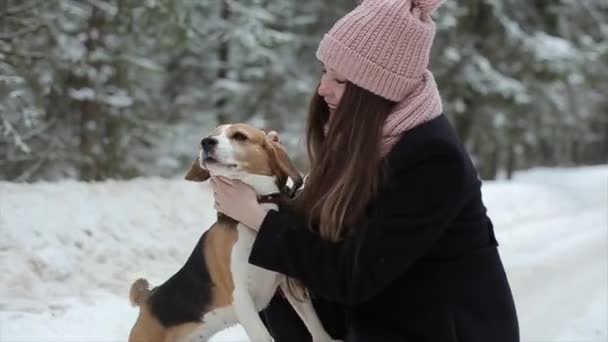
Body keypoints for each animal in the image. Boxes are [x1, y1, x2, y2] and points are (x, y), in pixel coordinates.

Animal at [129, 123, 338, 342]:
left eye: (239, 136)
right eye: (211, 135)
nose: (205, 142)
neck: (256, 209)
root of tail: (148, 297)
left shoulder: (291, 281)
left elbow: (314, 323)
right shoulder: (241, 296)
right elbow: (263, 336)